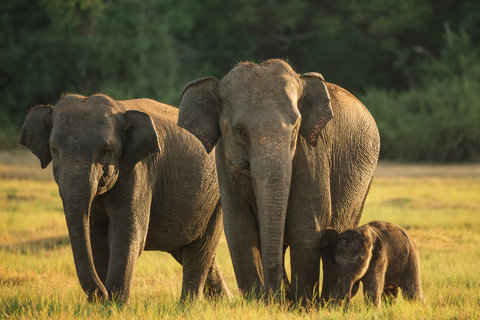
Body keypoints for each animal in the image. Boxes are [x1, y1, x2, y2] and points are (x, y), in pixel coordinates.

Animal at [19, 93, 233, 302]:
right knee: (185, 250)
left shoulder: (139, 170)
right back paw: (225, 302)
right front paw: (100, 304)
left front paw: (113, 303)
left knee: (199, 250)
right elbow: (95, 237)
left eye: (105, 152)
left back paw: (188, 306)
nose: (101, 294)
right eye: (54, 150)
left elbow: (127, 231)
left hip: (216, 199)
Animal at [178, 59, 380, 302]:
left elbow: (306, 227)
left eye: (295, 127)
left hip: (363, 175)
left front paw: (300, 304)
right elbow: (238, 228)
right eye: (239, 130)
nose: (273, 296)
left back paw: (329, 302)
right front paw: (258, 303)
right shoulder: (223, 161)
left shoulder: (311, 154)